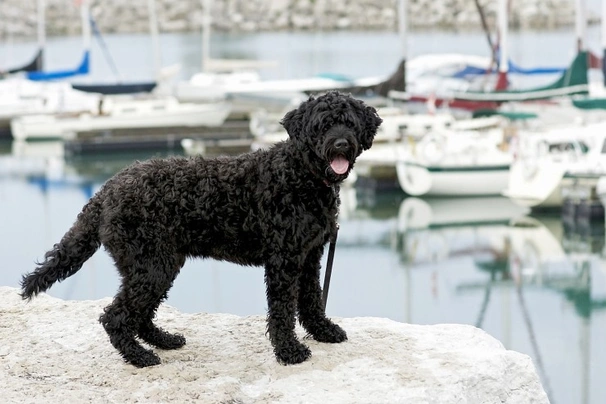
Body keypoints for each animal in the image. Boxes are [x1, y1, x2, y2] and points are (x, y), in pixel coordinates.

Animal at [21, 90, 382, 366]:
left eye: (349, 123)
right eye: (323, 125)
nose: (340, 144)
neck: (300, 175)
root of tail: (106, 191)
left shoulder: (310, 256)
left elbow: (311, 300)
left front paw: (323, 331)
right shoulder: (285, 260)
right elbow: (283, 310)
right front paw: (289, 351)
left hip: (156, 265)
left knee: (140, 314)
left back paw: (163, 340)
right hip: (151, 265)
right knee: (116, 317)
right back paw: (140, 357)